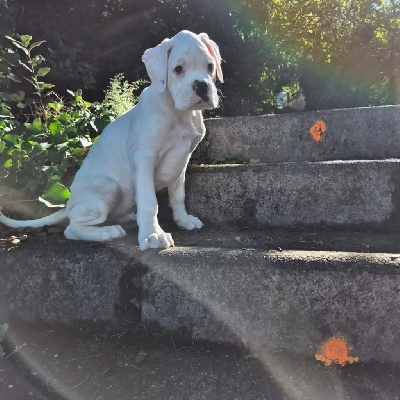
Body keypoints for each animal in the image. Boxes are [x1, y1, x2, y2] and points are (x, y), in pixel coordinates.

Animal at [0, 31, 223, 250]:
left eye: (210, 67)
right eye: (178, 69)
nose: (202, 85)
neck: (178, 113)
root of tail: (69, 204)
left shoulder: (181, 162)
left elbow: (178, 196)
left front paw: (184, 221)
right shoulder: (143, 158)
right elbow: (149, 201)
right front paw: (152, 234)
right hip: (108, 187)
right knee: (72, 229)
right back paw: (107, 232)